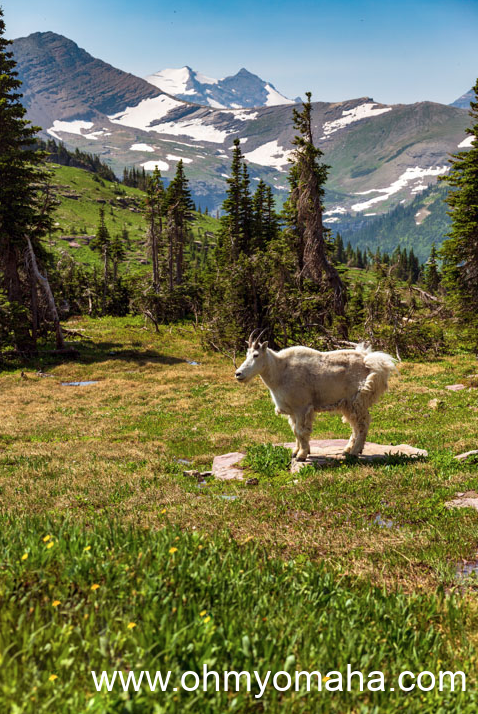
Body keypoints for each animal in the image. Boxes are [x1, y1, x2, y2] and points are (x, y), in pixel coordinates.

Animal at [235, 329, 397, 460]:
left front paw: (302, 455)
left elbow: (300, 431)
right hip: (348, 404)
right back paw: (347, 450)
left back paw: (354, 452)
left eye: (256, 355)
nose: (238, 374)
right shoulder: (292, 411)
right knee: (355, 425)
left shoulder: (301, 407)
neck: (280, 370)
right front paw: (296, 452)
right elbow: (295, 431)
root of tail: (371, 361)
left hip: (357, 401)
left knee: (363, 424)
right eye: (246, 354)